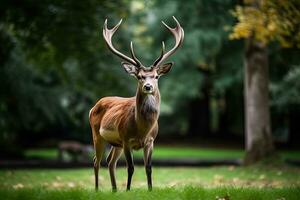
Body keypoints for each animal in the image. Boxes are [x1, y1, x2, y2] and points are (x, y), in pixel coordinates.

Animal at [88, 16, 184, 191]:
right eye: (139, 76)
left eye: (156, 76)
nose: (148, 86)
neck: (142, 129)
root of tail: (94, 106)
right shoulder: (126, 139)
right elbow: (131, 167)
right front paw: (128, 190)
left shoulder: (151, 141)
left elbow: (149, 167)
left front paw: (150, 190)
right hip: (97, 134)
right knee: (96, 161)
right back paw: (98, 189)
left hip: (116, 143)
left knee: (110, 161)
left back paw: (114, 190)